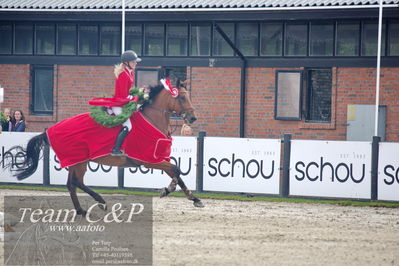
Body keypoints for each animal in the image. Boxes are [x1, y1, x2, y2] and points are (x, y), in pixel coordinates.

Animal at [4, 79, 206, 216]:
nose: (193, 118)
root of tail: (50, 130)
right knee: (77, 182)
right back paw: (100, 201)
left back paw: (81, 211)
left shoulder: (158, 158)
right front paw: (169, 189)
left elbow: (176, 172)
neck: (152, 121)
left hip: (76, 161)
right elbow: (176, 169)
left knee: (71, 184)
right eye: (182, 97)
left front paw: (194, 198)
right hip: (79, 160)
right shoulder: (148, 160)